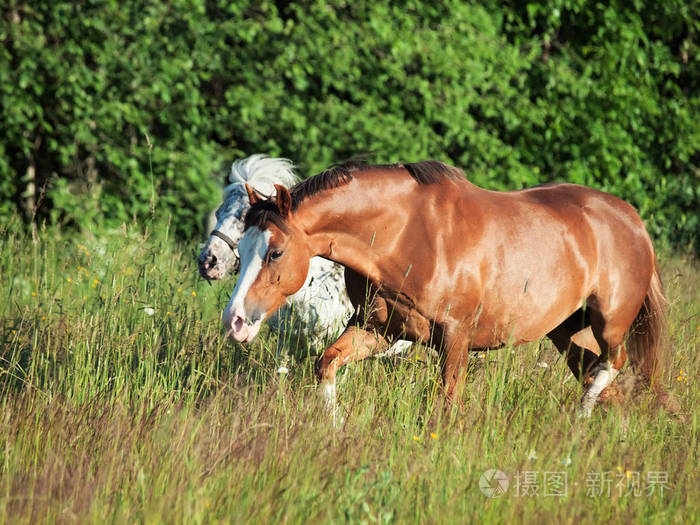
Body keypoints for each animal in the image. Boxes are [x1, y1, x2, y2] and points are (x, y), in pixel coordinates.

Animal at [221, 162, 668, 416]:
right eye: (242, 248)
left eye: (275, 252)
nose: (235, 321)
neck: (406, 235)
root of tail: (631, 219)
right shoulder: (378, 330)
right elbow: (326, 363)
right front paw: (333, 426)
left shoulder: (456, 338)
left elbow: (448, 403)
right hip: (563, 331)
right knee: (595, 374)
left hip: (609, 323)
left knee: (612, 363)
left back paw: (582, 419)